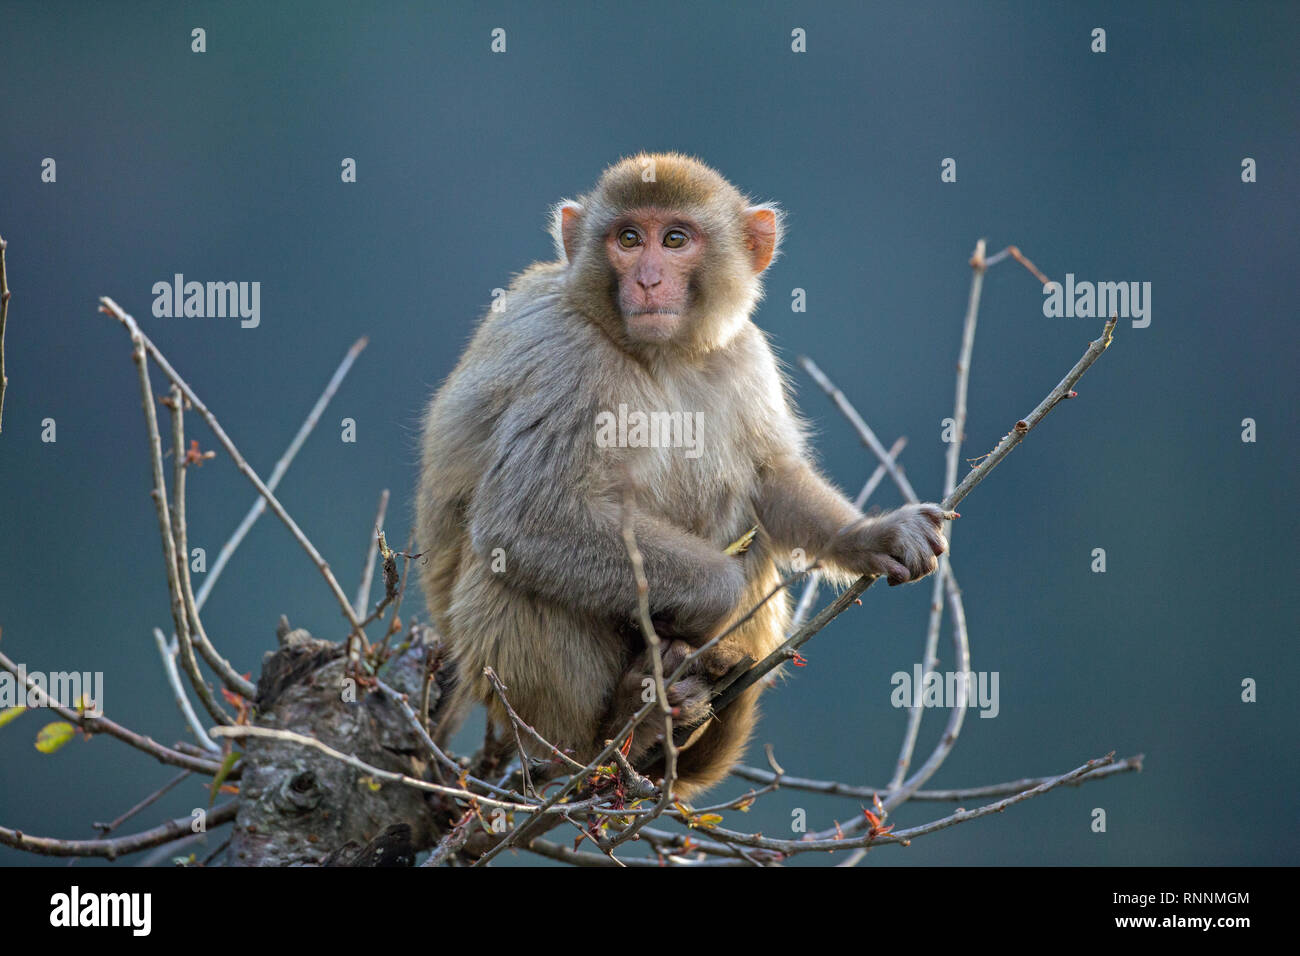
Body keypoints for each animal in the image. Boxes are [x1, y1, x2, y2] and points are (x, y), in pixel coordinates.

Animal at [421, 153, 951, 796]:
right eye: (628, 239)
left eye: (675, 240)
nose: (648, 279)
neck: (661, 354)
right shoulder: (567, 360)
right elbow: (525, 518)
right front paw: (721, 601)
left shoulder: (744, 352)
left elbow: (770, 483)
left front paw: (874, 536)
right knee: (508, 569)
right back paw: (616, 727)